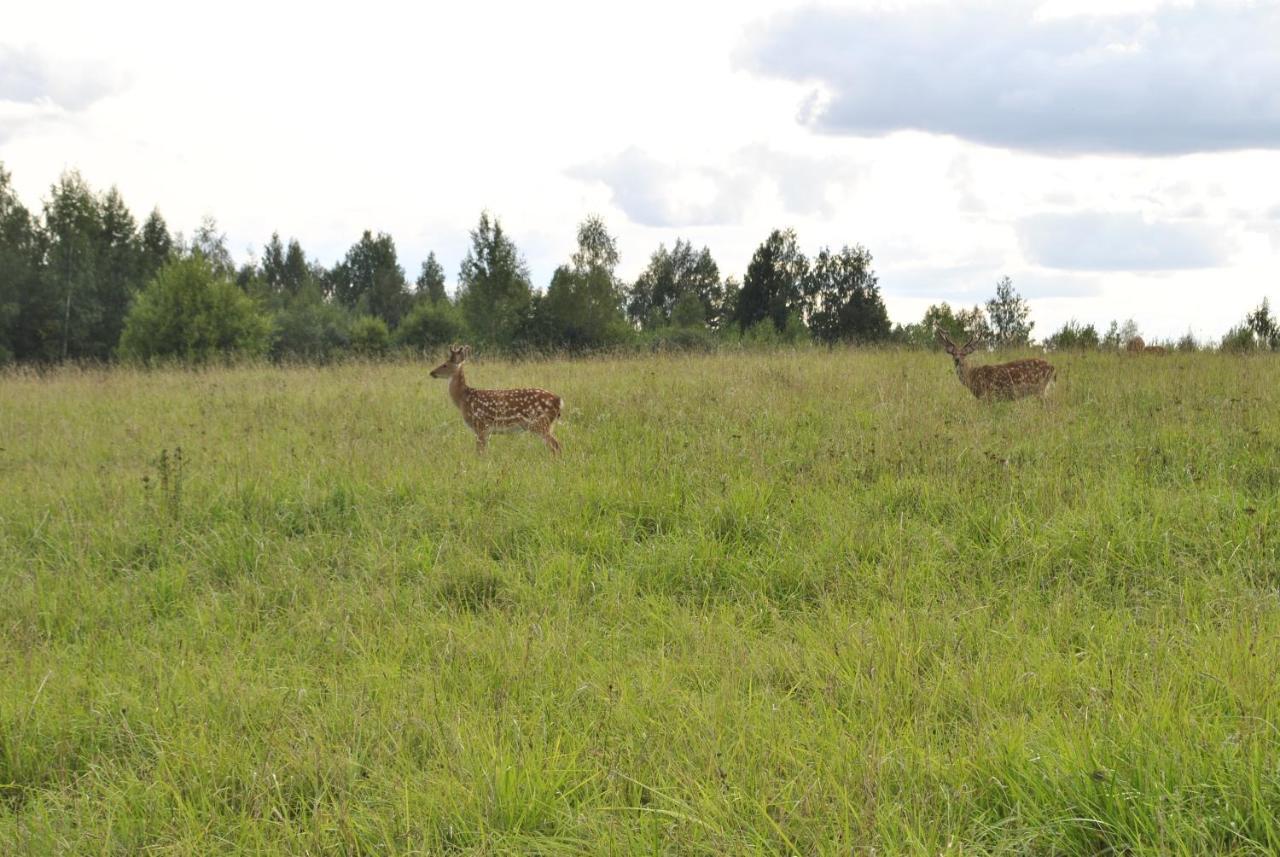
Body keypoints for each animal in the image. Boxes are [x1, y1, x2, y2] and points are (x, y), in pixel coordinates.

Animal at [432, 347, 563, 460]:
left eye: (444, 365)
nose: (431, 373)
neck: (463, 400)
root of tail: (558, 400)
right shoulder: (487, 430)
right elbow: (484, 451)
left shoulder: (480, 425)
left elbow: (479, 452)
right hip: (546, 424)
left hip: (540, 423)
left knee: (555, 445)